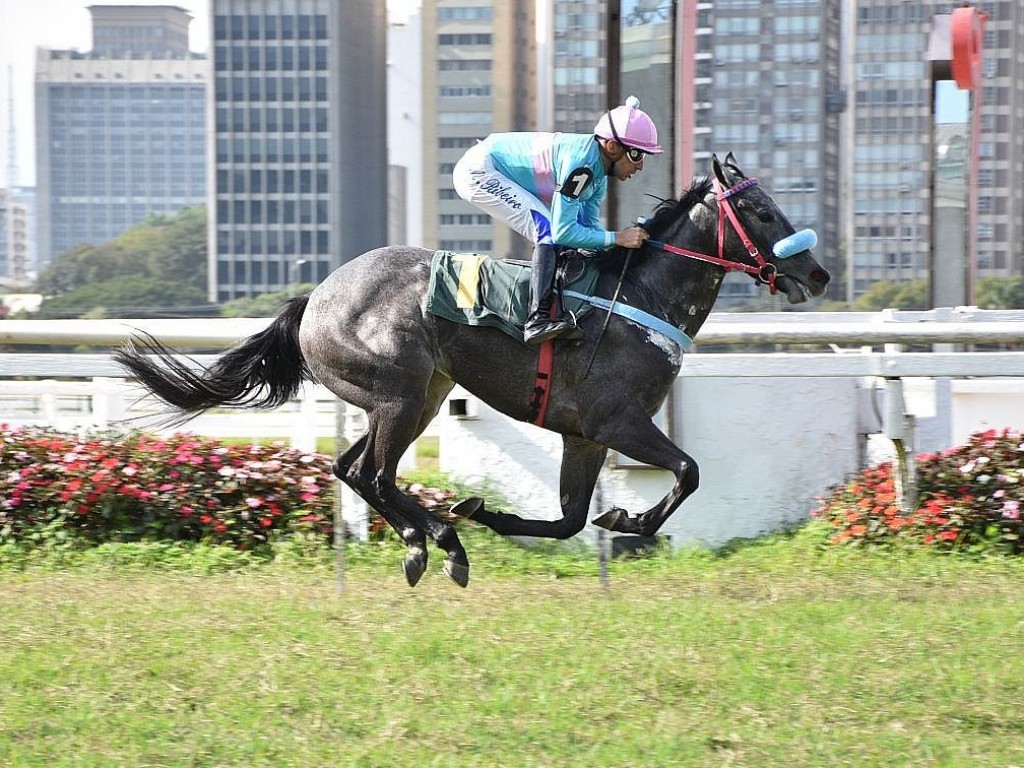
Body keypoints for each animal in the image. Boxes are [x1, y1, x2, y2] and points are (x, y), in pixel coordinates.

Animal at [114, 154, 831, 589]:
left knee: (350, 468)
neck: (639, 296)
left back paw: (430, 537)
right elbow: (686, 471)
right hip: (399, 395)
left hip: (416, 396)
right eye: (761, 211)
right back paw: (437, 542)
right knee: (374, 473)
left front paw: (495, 512)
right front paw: (625, 521)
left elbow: (570, 520)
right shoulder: (618, 422)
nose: (818, 273)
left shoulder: (584, 436)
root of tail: (314, 296)